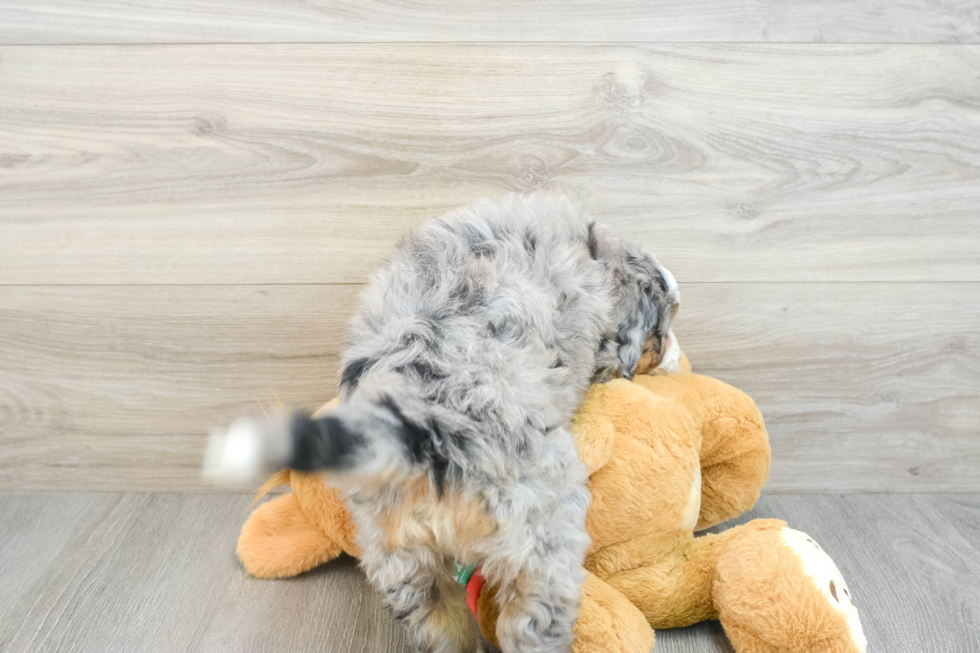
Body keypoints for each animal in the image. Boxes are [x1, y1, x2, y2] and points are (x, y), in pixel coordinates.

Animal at [205, 195, 680, 652]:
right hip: (537, 530)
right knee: (530, 618)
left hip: (396, 553)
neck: (591, 248)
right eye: (661, 330)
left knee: (437, 621)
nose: (676, 359)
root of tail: (418, 424)